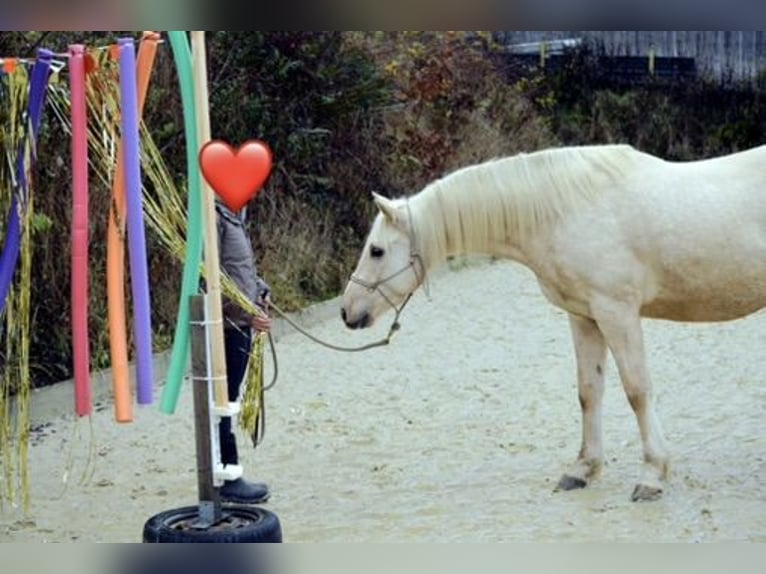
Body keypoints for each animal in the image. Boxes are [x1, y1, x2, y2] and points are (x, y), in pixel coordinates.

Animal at [340, 143, 766, 502]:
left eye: (376, 251)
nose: (347, 311)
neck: (566, 211)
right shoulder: (584, 316)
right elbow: (589, 392)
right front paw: (583, 469)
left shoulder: (617, 313)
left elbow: (637, 392)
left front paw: (652, 475)